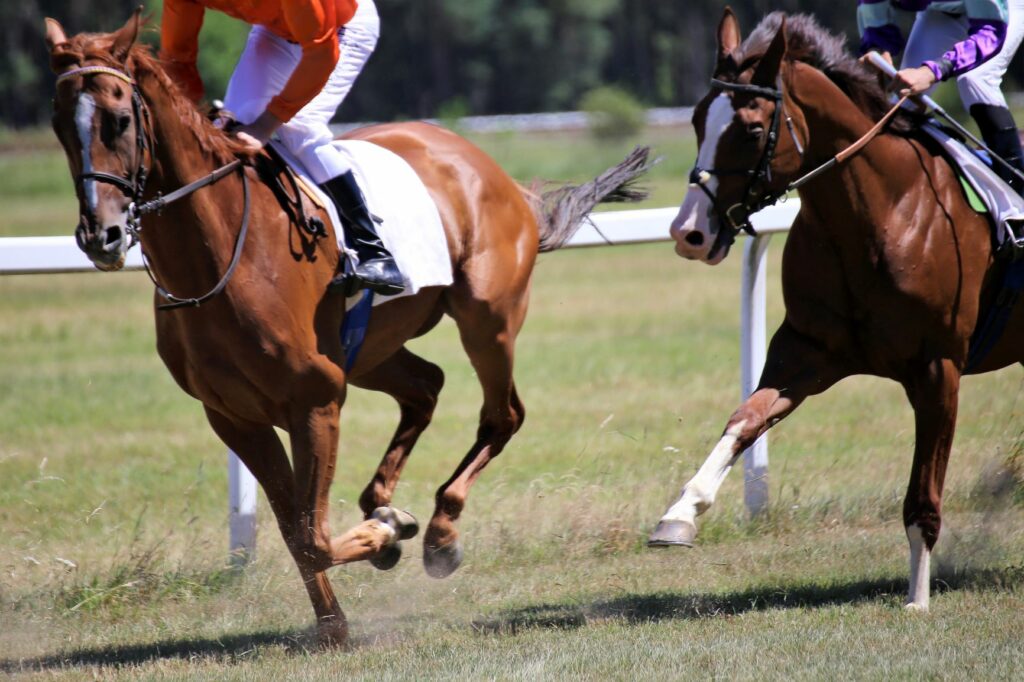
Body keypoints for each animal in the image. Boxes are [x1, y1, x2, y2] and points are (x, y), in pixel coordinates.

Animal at [46, 14, 647, 643]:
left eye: (117, 120)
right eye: (60, 123)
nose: (101, 236)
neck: (222, 256)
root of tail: (491, 171)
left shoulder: (315, 399)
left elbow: (312, 534)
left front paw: (384, 537)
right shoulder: (235, 416)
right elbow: (295, 529)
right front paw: (336, 618)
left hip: (487, 319)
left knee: (502, 414)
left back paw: (440, 532)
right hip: (372, 350)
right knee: (426, 386)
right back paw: (386, 502)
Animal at [647, 7, 1015, 606]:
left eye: (752, 129)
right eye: (700, 119)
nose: (688, 232)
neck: (881, 213)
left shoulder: (939, 367)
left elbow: (923, 495)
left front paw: (917, 598)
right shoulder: (807, 349)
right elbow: (744, 419)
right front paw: (680, 512)